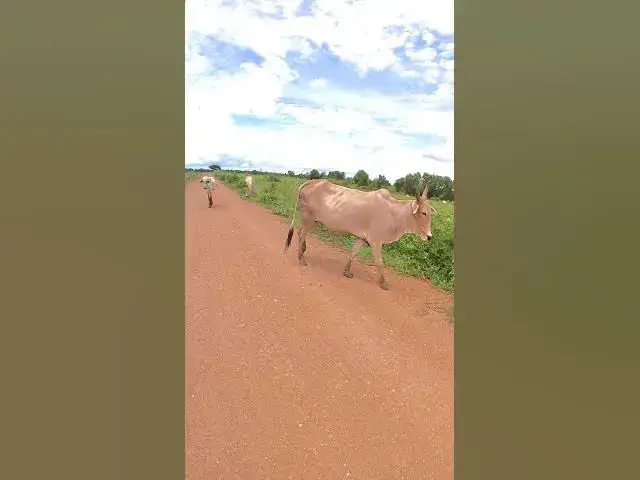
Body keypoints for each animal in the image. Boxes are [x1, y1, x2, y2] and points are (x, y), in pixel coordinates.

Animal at [284, 178, 435, 290]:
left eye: (430, 212)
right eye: (423, 213)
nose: (429, 236)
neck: (394, 213)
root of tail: (311, 182)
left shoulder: (361, 238)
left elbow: (353, 253)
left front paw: (346, 271)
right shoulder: (376, 241)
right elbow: (380, 262)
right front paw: (383, 283)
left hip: (314, 221)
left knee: (301, 233)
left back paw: (303, 251)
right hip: (308, 218)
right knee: (301, 233)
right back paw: (301, 258)